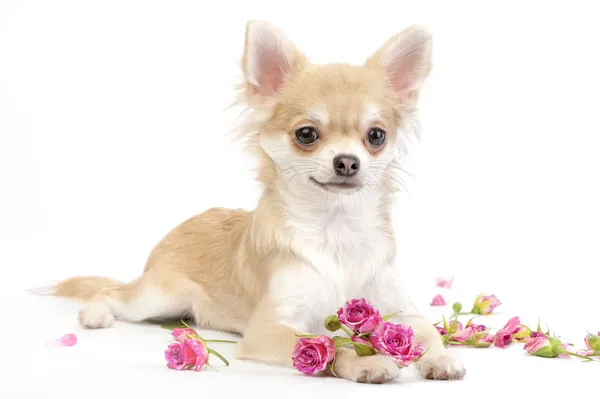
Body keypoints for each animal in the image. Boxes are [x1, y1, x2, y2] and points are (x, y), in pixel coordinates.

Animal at [49, 21, 466, 384]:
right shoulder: (269, 328)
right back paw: (94, 313)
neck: (335, 229)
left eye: (376, 136)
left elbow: (427, 332)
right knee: (112, 292)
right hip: (160, 295)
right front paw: (368, 363)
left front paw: (441, 357)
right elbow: (329, 344)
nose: (347, 161)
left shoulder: (402, 311)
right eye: (306, 134)